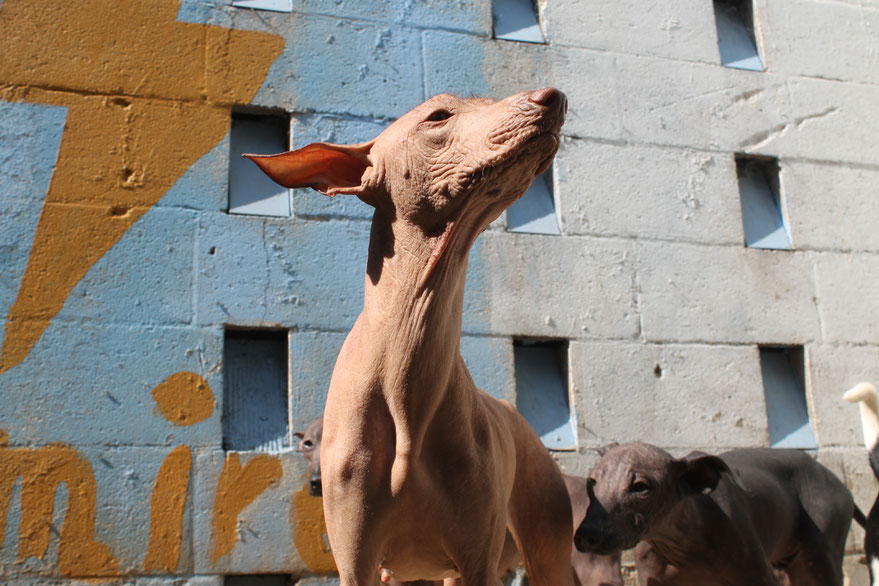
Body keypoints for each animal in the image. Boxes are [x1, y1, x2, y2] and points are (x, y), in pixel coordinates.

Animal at [249, 88, 576, 584]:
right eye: (438, 115)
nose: (552, 97)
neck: (404, 381)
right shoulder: (357, 563)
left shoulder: (475, 561)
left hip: (543, 546)